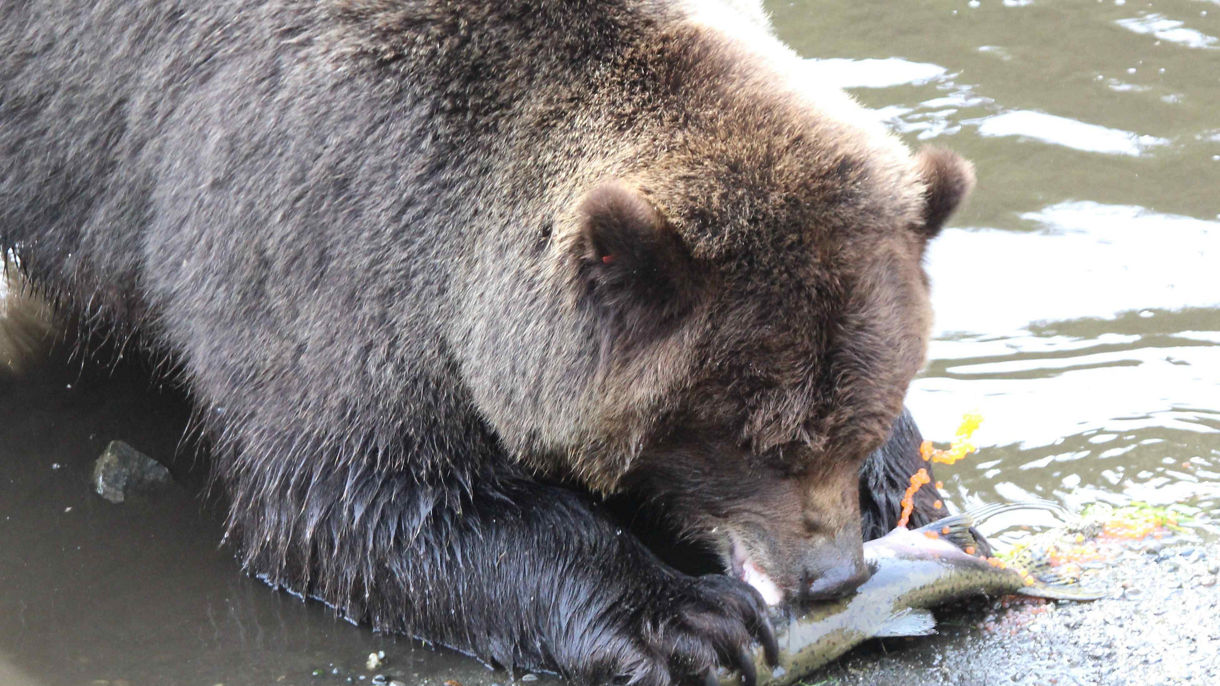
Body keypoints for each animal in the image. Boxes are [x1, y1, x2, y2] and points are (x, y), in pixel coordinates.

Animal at [0, 1, 973, 684]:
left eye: (847, 425)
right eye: (759, 440)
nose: (831, 578)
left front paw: (924, 500)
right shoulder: (321, 227)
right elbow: (366, 502)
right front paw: (690, 618)